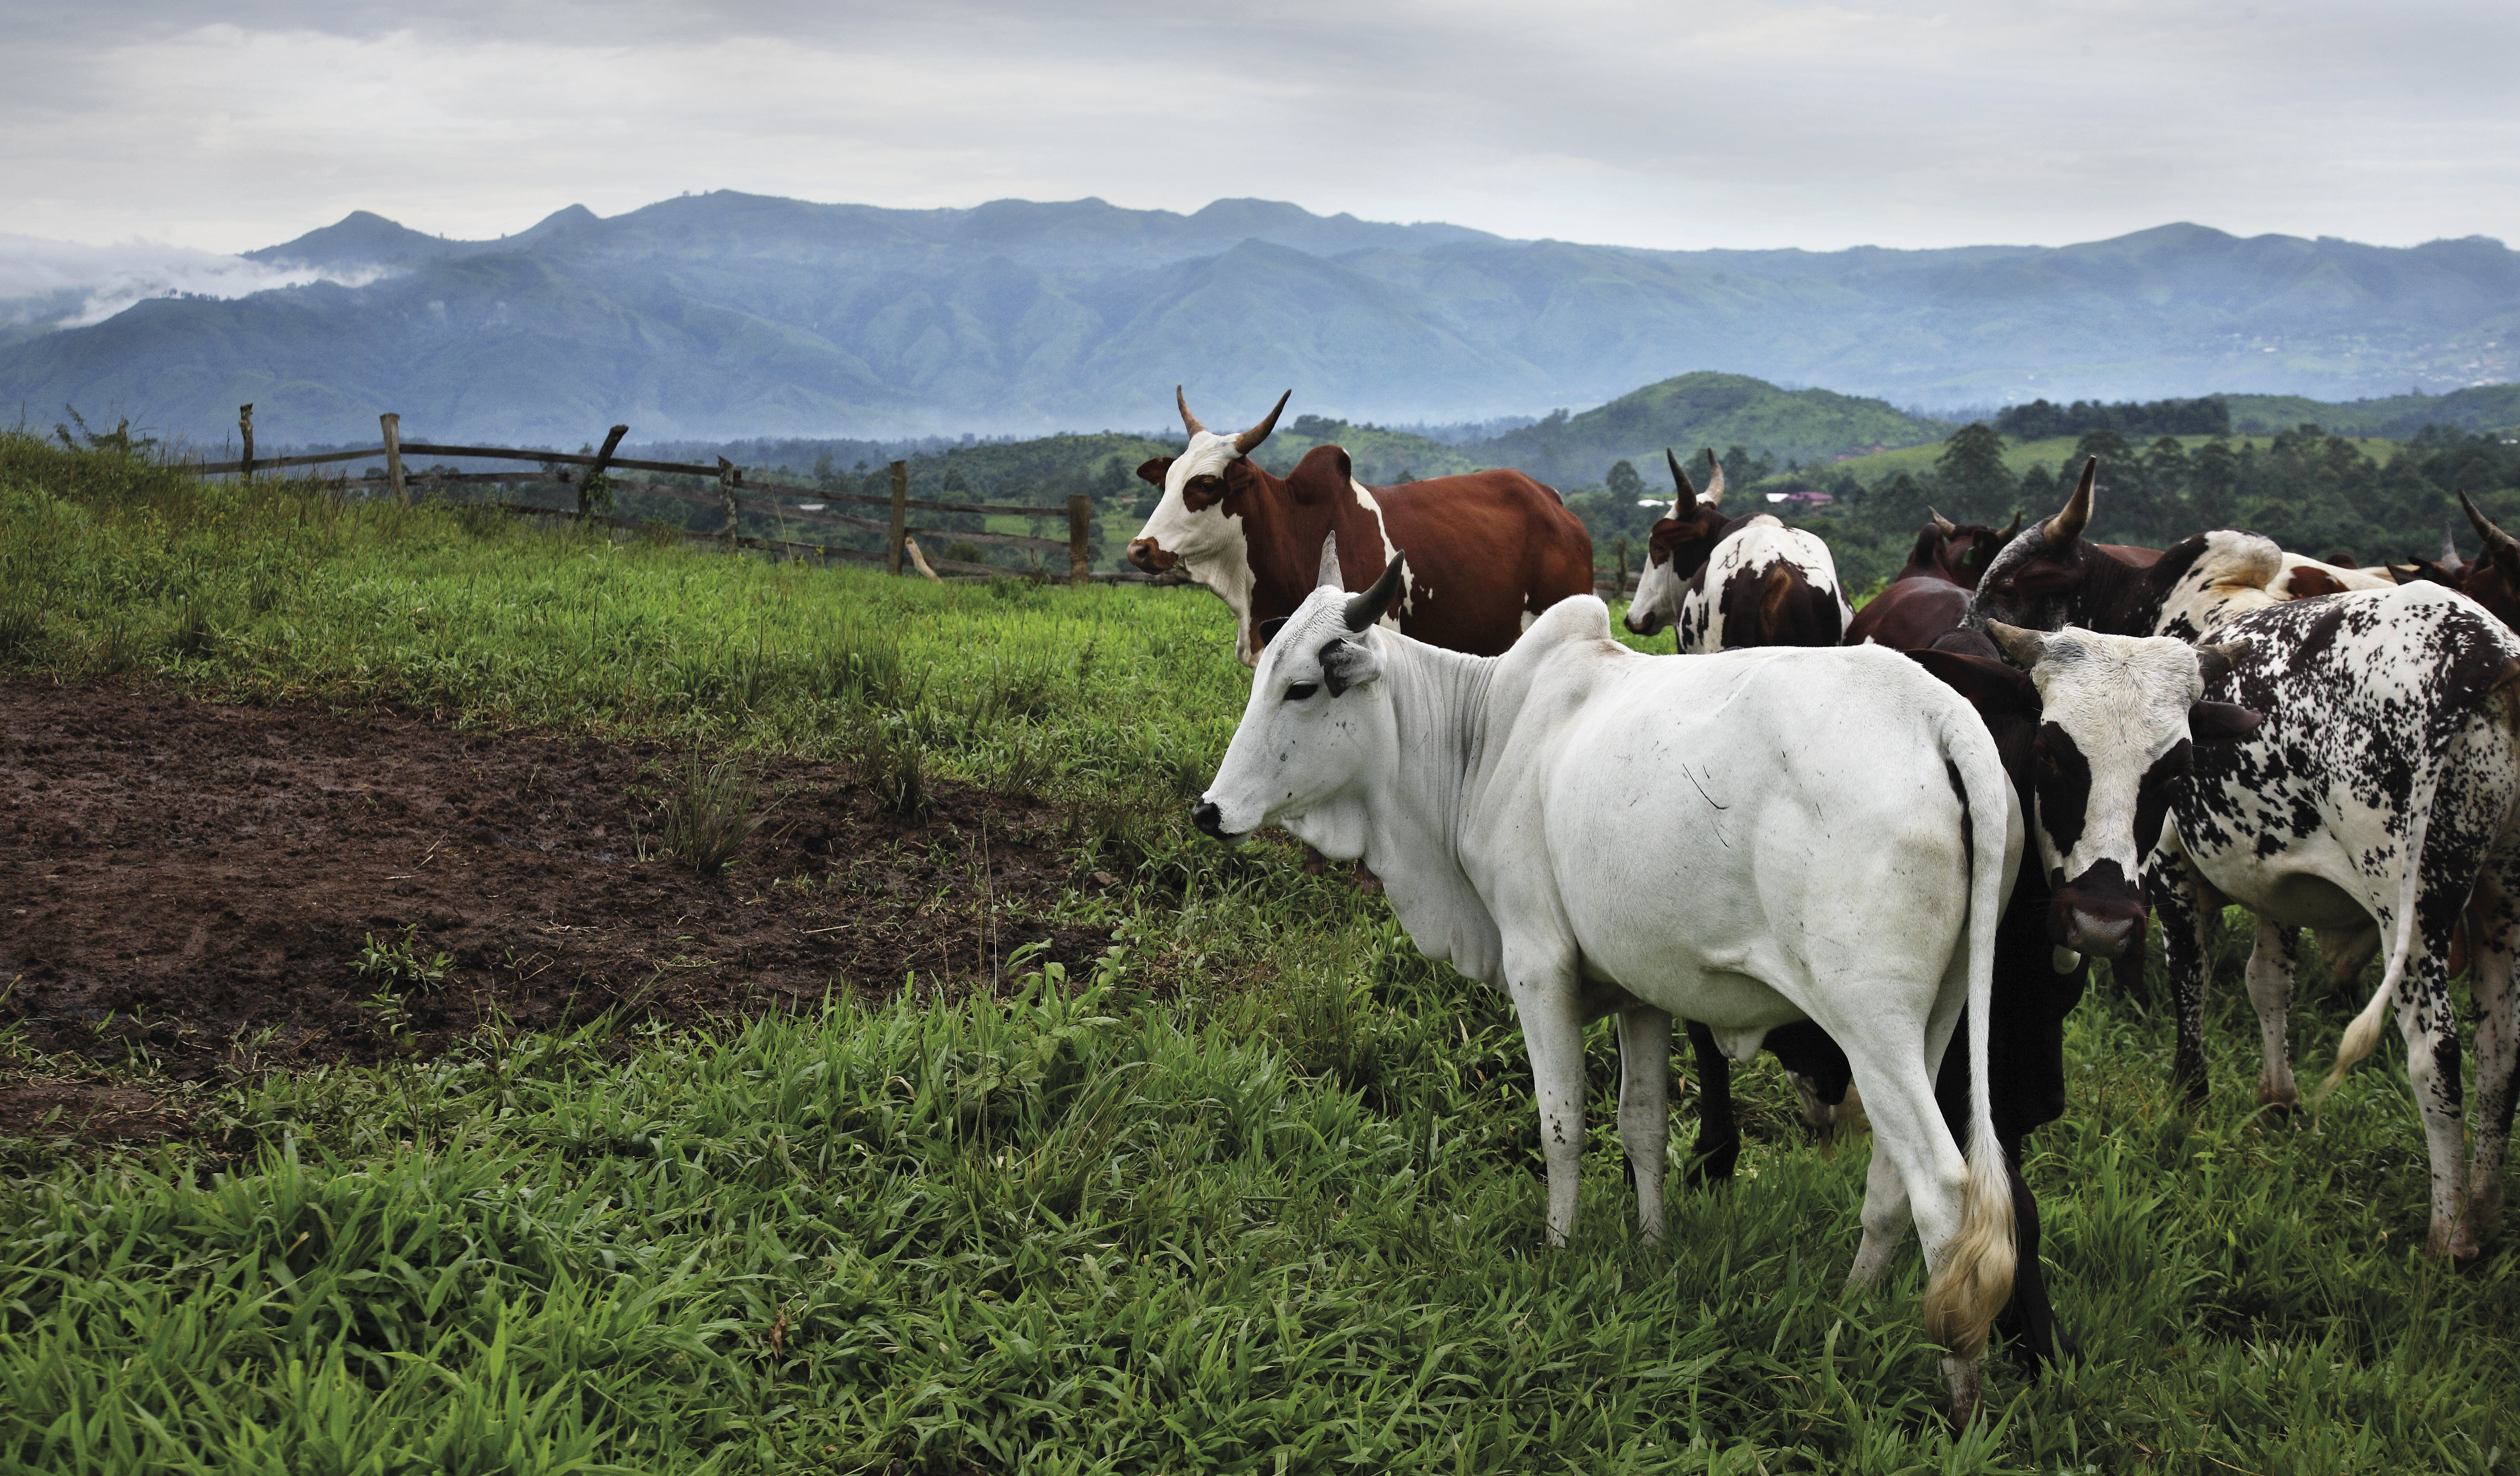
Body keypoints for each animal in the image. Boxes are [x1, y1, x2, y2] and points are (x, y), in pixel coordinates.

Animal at [1194, 554, 2026, 1410]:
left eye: (1303, 687)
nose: (1209, 809)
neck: (1484, 737)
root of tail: (1939, 715)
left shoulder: (1538, 965)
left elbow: (1561, 1125)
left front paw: (1558, 1249)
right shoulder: (1641, 991)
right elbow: (1643, 1126)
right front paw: (1652, 1244)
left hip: (1871, 1024)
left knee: (1943, 1186)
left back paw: (1960, 1392)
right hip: (1935, 1017)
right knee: (1893, 1180)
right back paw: (1850, 1305)